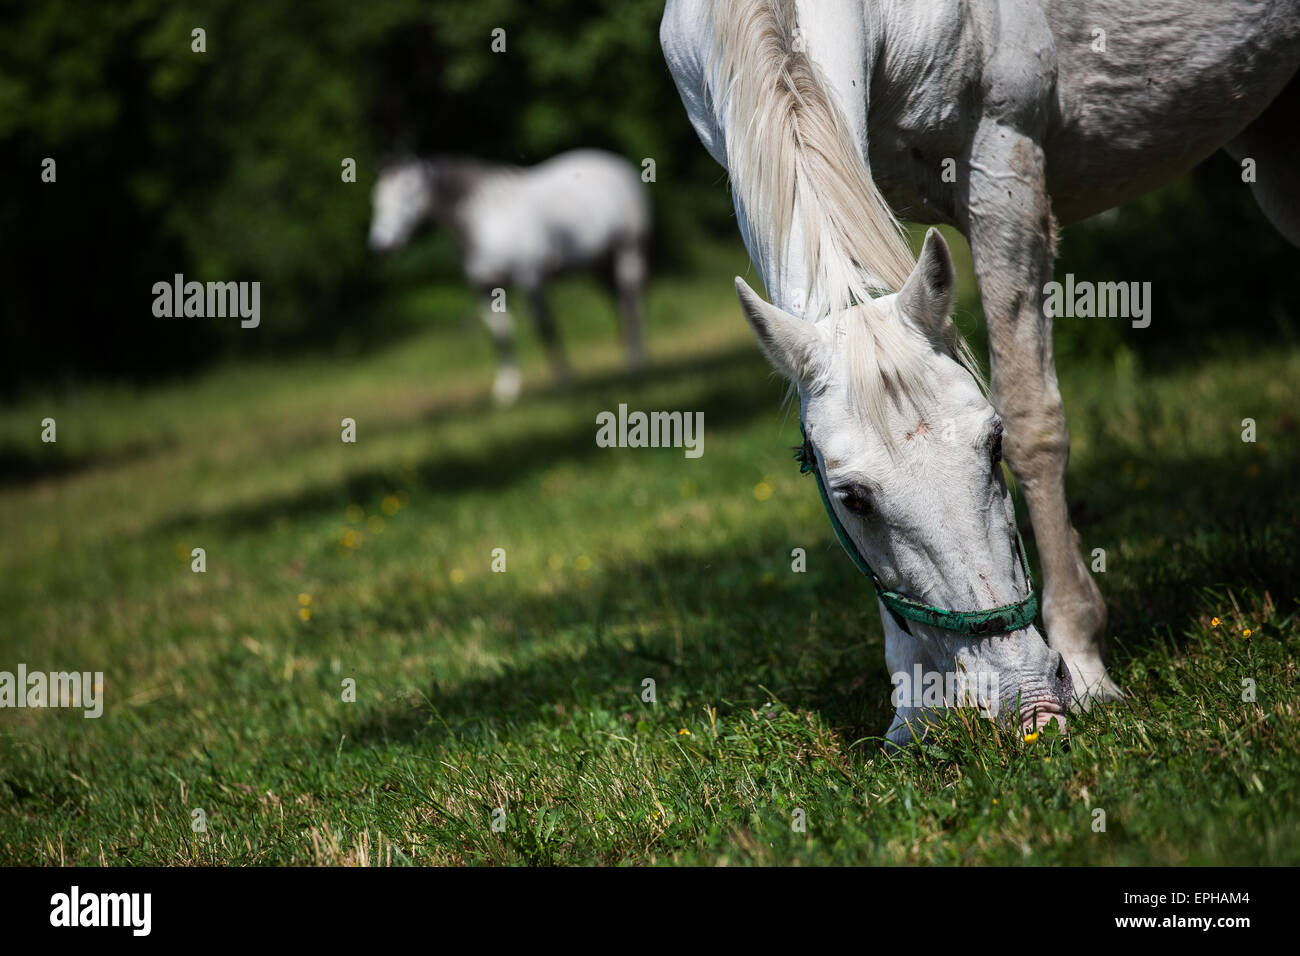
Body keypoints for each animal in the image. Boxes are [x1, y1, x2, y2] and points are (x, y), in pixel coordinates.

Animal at [369, 148, 650, 403]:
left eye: (407, 196)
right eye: (377, 200)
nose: (381, 246)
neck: (484, 224)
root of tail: (618, 164)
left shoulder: (530, 279)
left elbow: (545, 327)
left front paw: (564, 379)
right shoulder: (484, 288)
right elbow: (501, 333)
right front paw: (507, 389)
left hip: (628, 252)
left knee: (630, 300)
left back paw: (636, 362)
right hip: (597, 267)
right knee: (617, 303)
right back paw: (627, 355)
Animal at [665, 0, 1300, 738]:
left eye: (992, 447)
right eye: (853, 498)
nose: (1026, 695)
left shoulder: (1003, 164)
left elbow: (1035, 421)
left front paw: (1084, 666)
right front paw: (913, 713)